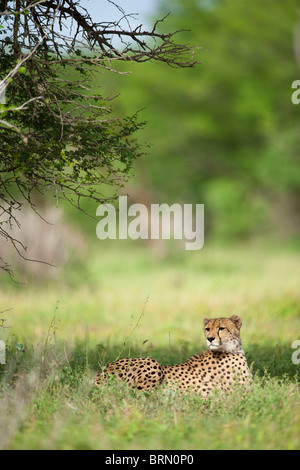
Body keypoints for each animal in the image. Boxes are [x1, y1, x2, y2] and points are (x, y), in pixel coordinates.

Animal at [94, 316, 251, 396]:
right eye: (207, 329)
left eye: (222, 328)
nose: (210, 338)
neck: (231, 348)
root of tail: (100, 372)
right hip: (152, 363)